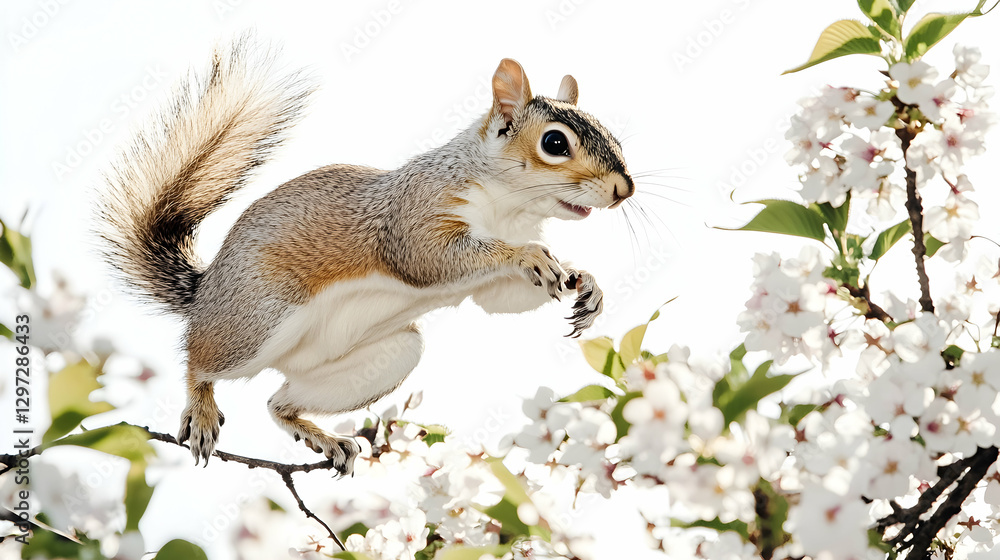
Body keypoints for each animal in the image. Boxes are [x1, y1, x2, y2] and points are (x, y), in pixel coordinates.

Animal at [98, 36, 634, 475]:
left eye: (613, 134)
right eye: (554, 142)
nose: (623, 190)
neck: (512, 210)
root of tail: (205, 292)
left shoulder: (490, 284)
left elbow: (501, 299)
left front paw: (586, 283)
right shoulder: (413, 217)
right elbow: (432, 257)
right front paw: (530, 255)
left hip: (387, 356)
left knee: (277, 403)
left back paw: (324, 438)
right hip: (259, 316)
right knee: (199, 357)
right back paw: (203, 408)